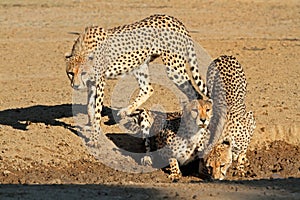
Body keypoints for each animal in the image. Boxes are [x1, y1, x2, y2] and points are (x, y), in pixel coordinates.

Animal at [64, 14, 207, 145]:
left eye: (83, 73)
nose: (75, 85)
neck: (84, 50)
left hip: (174, 67)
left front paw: (94, 138)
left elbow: (97, 110)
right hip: (140, 65)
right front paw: (89, 124)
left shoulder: (100, 81)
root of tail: (174, 19)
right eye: (70, 73)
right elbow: (90, 106)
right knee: (147, 89)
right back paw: (126, 111)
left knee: (194, 92)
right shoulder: (92, 83)